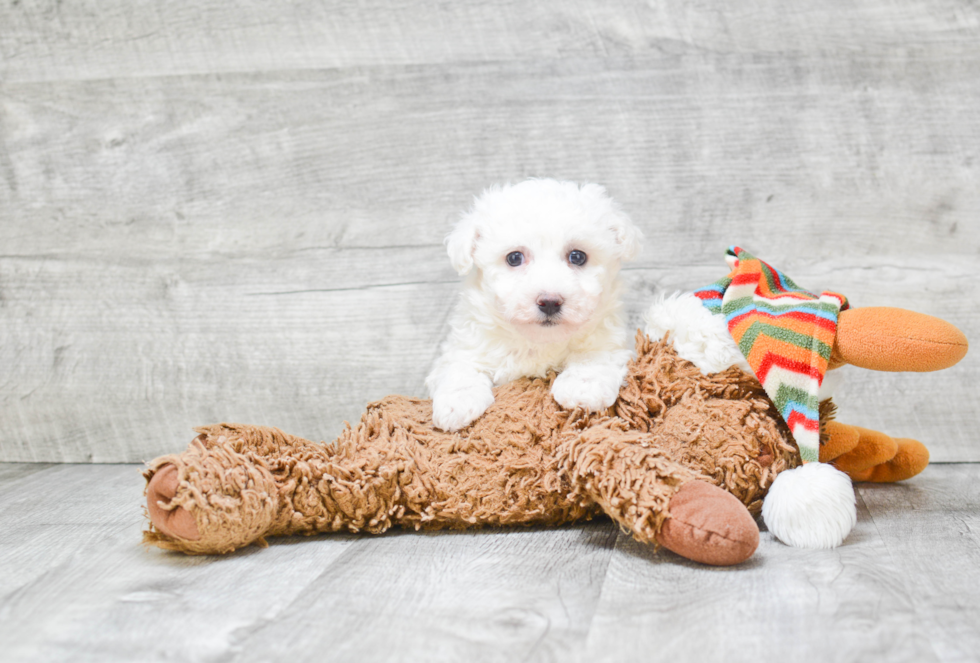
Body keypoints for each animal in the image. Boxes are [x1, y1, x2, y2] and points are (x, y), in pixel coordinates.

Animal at [426, 179, 644, 434]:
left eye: (578, 257)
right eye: (514, 258)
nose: (549, 302)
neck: (539, 341)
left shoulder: (611, 340)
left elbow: (596, 356)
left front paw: (583, 386)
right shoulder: (464, 345)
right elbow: (459, 366)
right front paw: (457, 402)